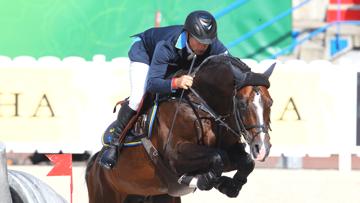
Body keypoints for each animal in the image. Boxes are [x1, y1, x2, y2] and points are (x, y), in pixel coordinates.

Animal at [86, 54, 274, 202]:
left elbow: (246, 161)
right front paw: (205, 180)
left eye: (270, 103)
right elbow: (218, 156)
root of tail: (93, 165)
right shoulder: (175, 156)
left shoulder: (230, 151)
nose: (262, 148)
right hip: (104, 194)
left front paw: (229, 186)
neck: (202, 104)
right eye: (242, 104)